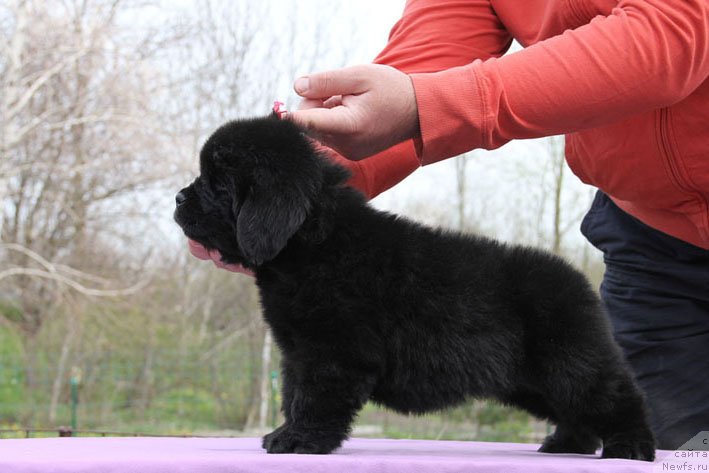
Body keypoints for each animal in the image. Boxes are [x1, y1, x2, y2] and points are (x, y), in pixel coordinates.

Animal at [174, 112, 656, 460]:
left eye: (218, 183)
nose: (177, 198)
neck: (314, 243)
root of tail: (578, 279)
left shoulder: (330, 351)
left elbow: (313, 397)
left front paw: (299, 440)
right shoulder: (297, 352)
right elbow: (293, 394)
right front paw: (286, 432)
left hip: (571, 363)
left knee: (618, 397)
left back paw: (631, 448)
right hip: (535, 382)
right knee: (577, 412)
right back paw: (566, 443)